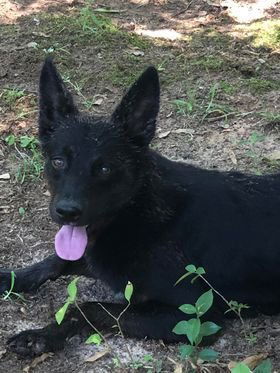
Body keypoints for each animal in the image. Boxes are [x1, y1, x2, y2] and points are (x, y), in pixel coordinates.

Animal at [1, 56, 280, 356]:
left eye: (104, 168)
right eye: (58, 161)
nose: (67, 212)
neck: (137, 211)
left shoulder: (194, 316)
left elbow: (88, 307)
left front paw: (43, 335)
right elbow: (56, 260)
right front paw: (12, 277)